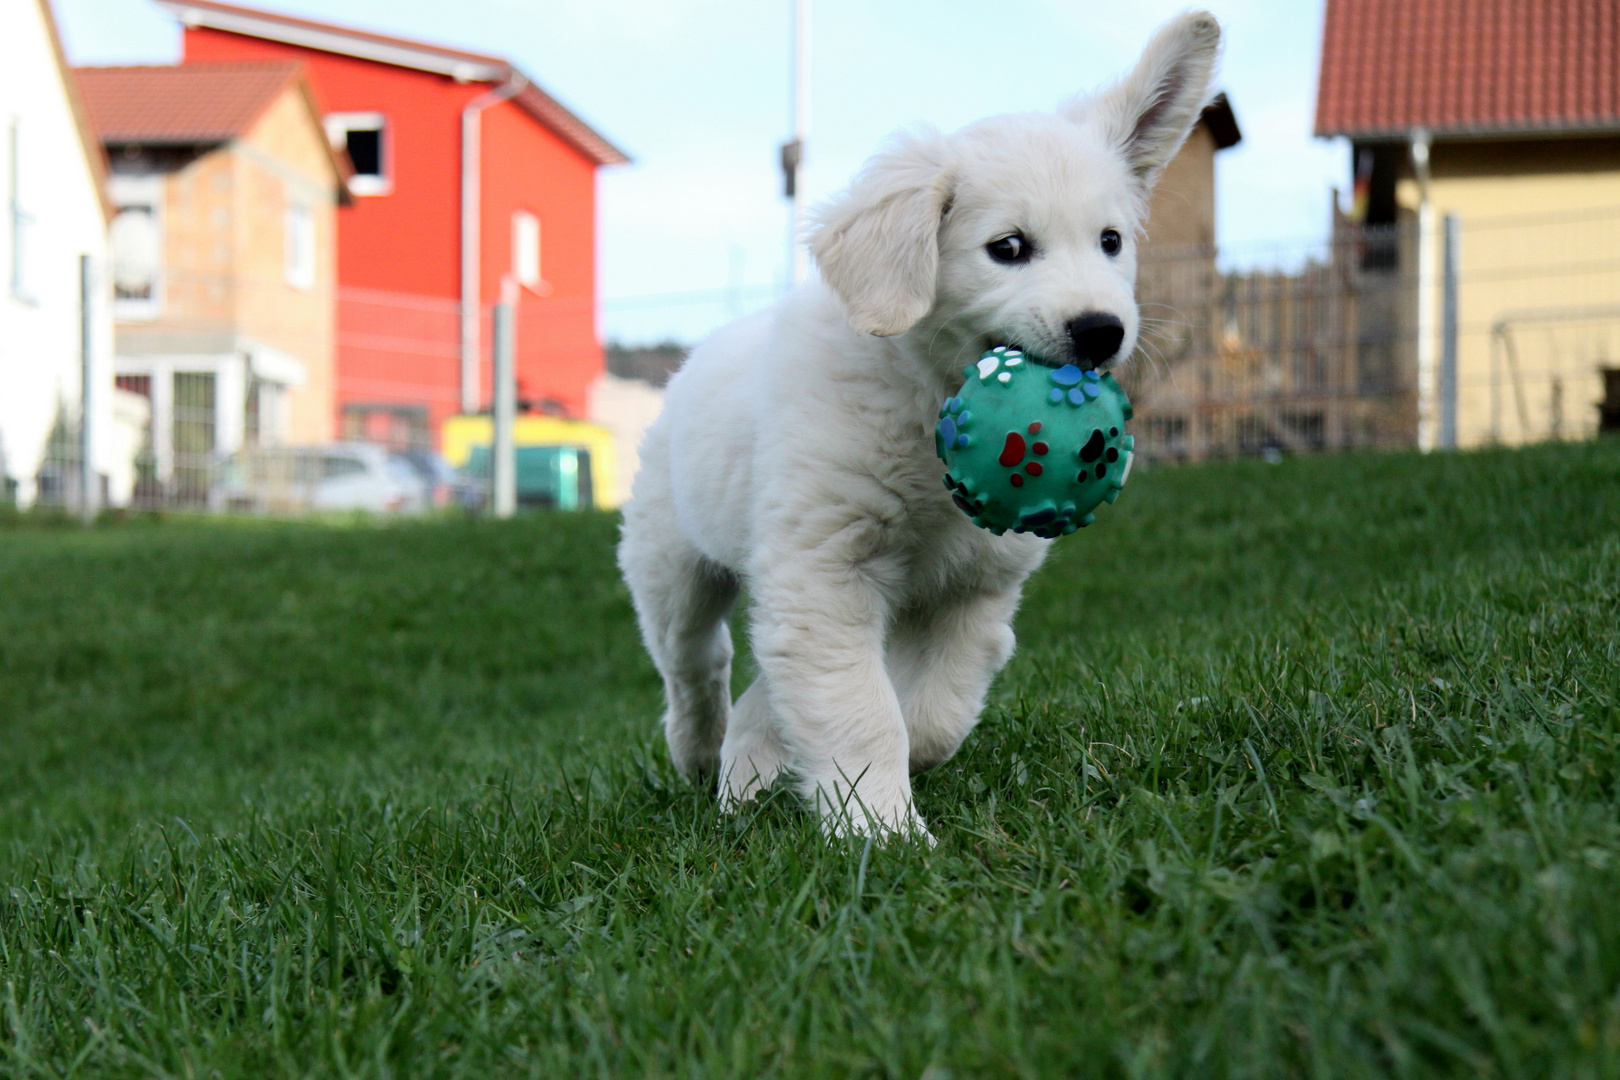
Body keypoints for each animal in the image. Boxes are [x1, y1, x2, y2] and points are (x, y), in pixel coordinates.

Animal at [615, 10, 1218, 835]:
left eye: (1111, 242)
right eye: (1008, 248)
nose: (1101, 332)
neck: (928, 399)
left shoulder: (973, 585)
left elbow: (930, 710)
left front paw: (870, 788)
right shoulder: (825, 567)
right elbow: (862, 712)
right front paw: (884, 832)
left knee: (766, 675)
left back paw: (747, 767)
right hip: (672, 564)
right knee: (695, 662)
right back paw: (702, 753)